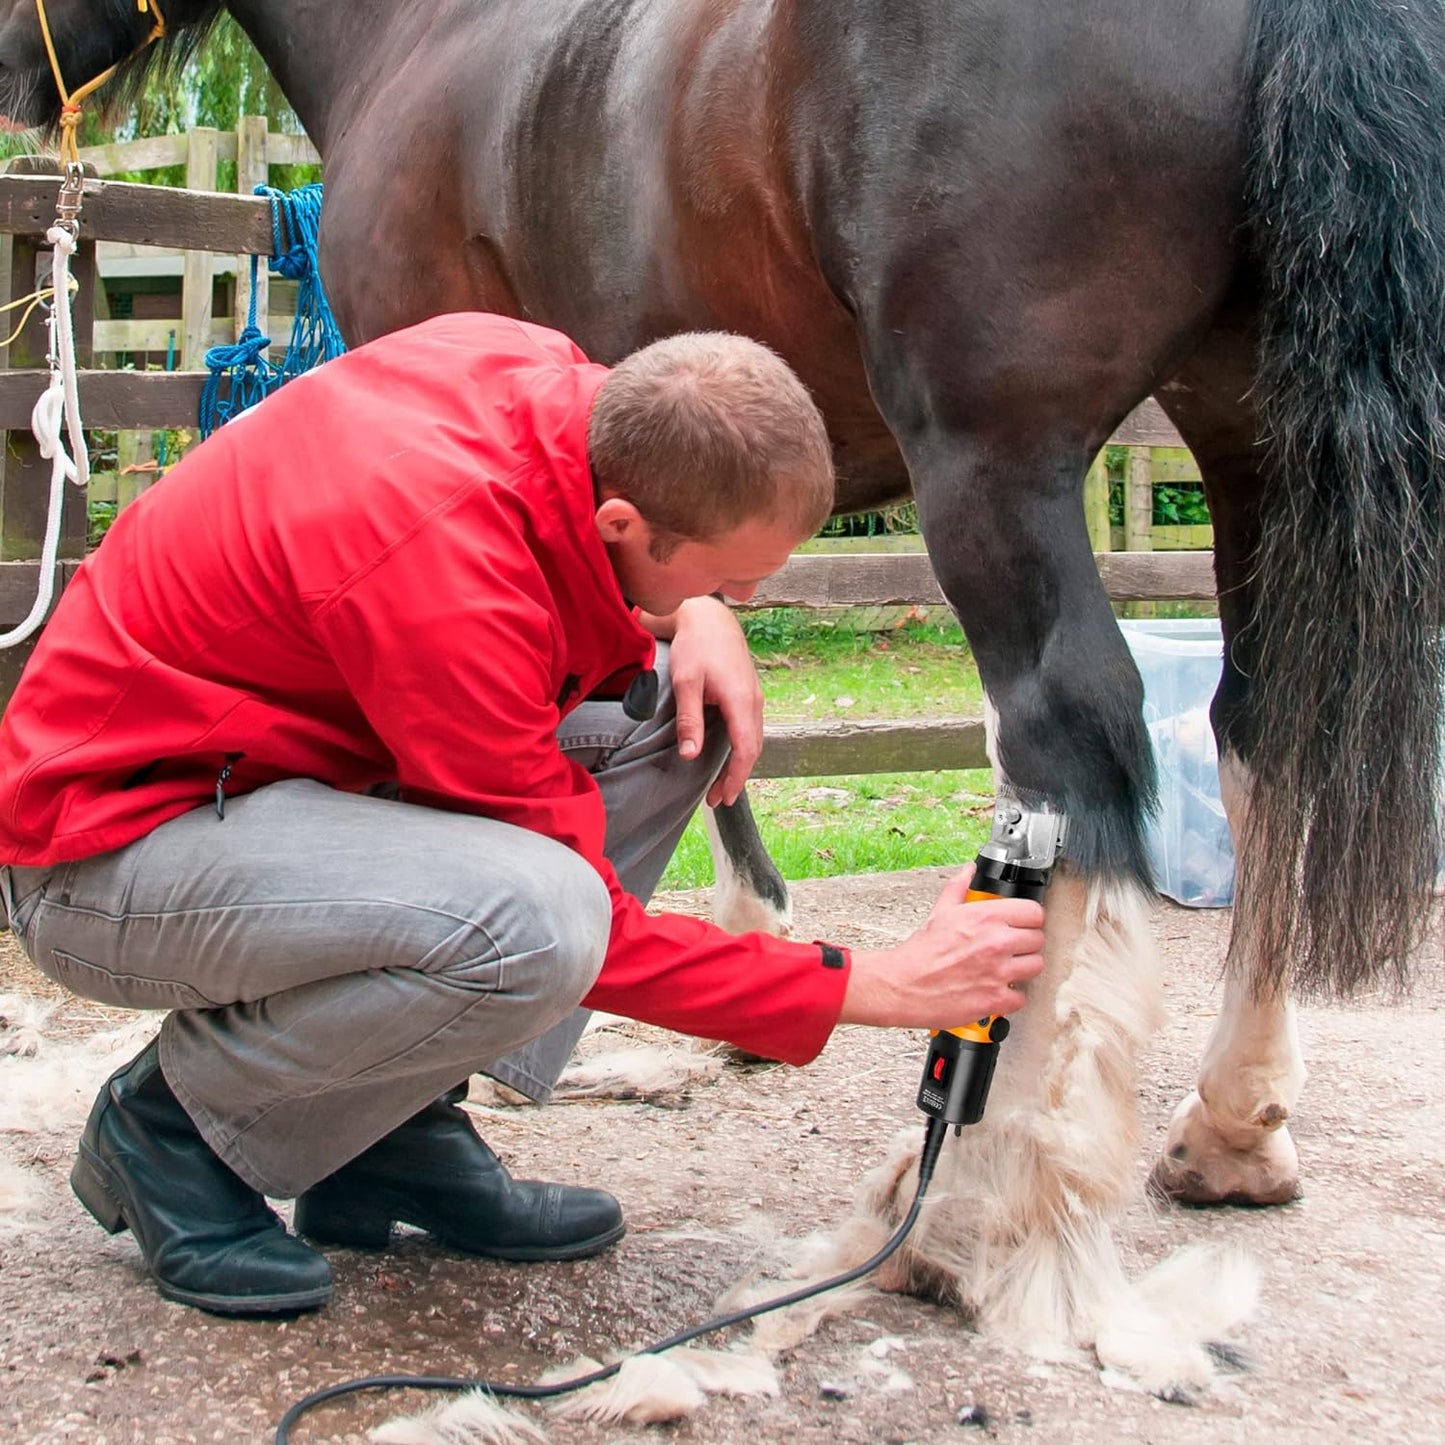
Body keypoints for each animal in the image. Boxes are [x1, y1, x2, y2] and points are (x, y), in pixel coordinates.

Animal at [2, 0, 1445, 1375]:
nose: (12, 78)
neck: (423, 33)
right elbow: (700, 689)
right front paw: (754, 947)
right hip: (1247, 434)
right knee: (1258, 737)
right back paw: (1231, 1129)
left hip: (994, 460)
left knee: (1065, 747)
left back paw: (970, 1217)